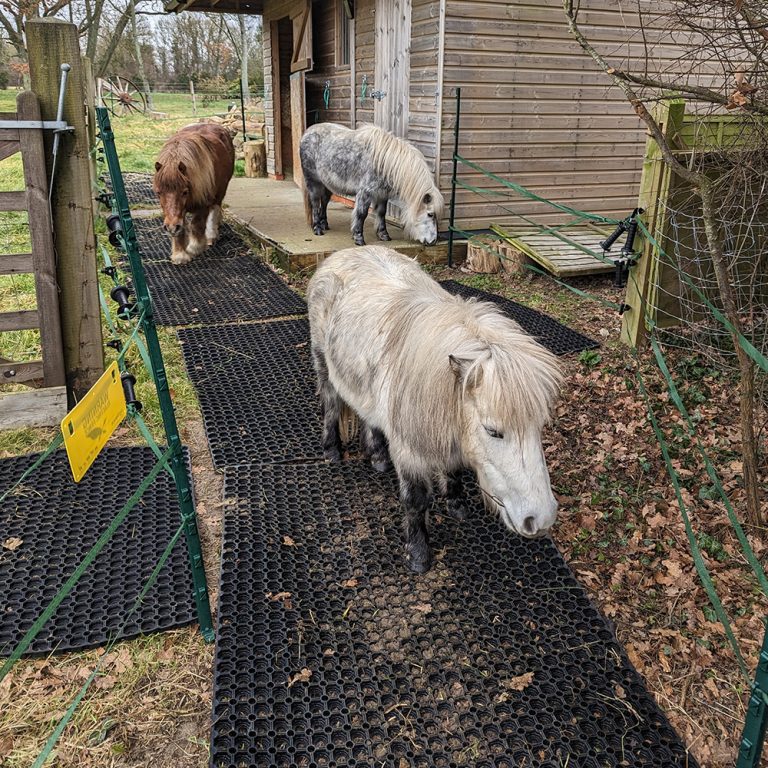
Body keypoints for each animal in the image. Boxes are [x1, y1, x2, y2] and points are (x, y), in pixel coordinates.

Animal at [153, 123, 235, 265]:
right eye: (158, 192)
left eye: (185, 192)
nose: (171, 228)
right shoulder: (177, 216)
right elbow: (180, 229)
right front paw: (180, 255)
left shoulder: (203, 203)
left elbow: (196, 224)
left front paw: (194, 248)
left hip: (220, 192)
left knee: (215, 209)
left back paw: (211, 235)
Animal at [299, 122, 444, 247]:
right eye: (430, 214)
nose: (433, 242)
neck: (385, 163)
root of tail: (306, 133)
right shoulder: (365, 193)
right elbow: (361, 213)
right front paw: (358, 238)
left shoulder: (382, 194)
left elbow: (381, 213)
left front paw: (383, 235)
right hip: (313, 182)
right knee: (315, 203)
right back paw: (318, 228)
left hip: (327, 184)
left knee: (324, 202)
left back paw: (324, 224)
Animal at [307, 246, 562, 573]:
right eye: (493, 431)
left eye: (539, 426)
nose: (541, 519)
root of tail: (341, 254)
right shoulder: (409, 453)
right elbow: (416, 500)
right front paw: (418, 554)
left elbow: (452, 470)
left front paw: (456, 504)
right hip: (323, 364)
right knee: (331, 404)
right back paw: (332, 450)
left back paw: (378, 456)